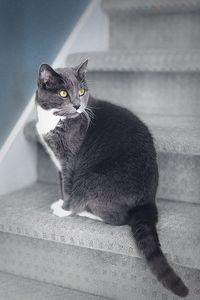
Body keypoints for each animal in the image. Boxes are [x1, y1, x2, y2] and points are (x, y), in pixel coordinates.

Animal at [35, 59, 189, 296]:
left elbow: (68, 187)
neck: (53, 120)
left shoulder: (69, 162)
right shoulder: (59, 163)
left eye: (81, 91)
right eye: (62, 93)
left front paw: (64, 209)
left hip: (91, 179)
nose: (78, 105)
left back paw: (84, 211)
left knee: (118, 218)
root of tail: (149, 200)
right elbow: (61, 186)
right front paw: (60, 202)